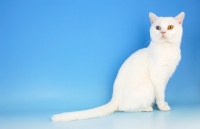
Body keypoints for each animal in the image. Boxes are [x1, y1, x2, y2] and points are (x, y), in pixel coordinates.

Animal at [51, 11, 184, 121]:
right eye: (158, 27)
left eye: (170, 27)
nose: (163, 32)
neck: (167, 49)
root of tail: (114, 98)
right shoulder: (158, 79)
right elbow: (160, 95)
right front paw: (162, 106)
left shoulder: (165, 78)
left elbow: (162, 93)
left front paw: (164, 104)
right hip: (147, 88)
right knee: (124, 108)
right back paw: (147, 108)